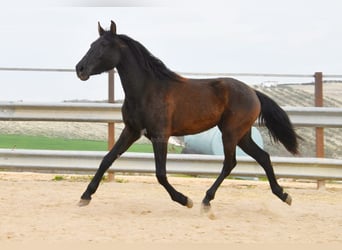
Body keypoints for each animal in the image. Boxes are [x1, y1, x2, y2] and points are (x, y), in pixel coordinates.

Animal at [75, 20, 300, 214]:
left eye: (103, 45)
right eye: (92, 44)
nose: (80, 69)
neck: (147, 90)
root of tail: (253, 92)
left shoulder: (160, 136)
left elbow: (161, 174)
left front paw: (185, 200)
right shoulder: (131, 131)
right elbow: (106, 160)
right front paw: (85, 196)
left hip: (230, 133)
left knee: (230, 163)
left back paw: (206, 200)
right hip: (242, 135)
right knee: (263, 157)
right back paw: (283, 195)